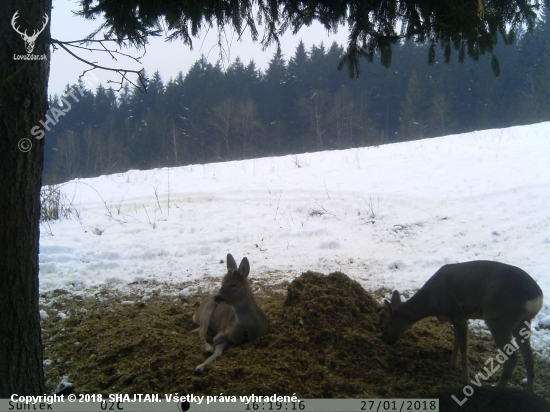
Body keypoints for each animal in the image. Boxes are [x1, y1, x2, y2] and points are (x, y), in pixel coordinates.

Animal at [382, 260, 544, 392]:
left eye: (384, 324)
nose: (385, 341)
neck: (432, 302)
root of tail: (537, 297)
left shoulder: (457, 314)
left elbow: (464, 347)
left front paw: (464, 380)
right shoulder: (456, 317)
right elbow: (456, 341)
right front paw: (452, 363)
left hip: (498, 319)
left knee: (512, 359)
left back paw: (497, 387)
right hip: (522, 323)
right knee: (529, 359)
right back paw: (529, 393)